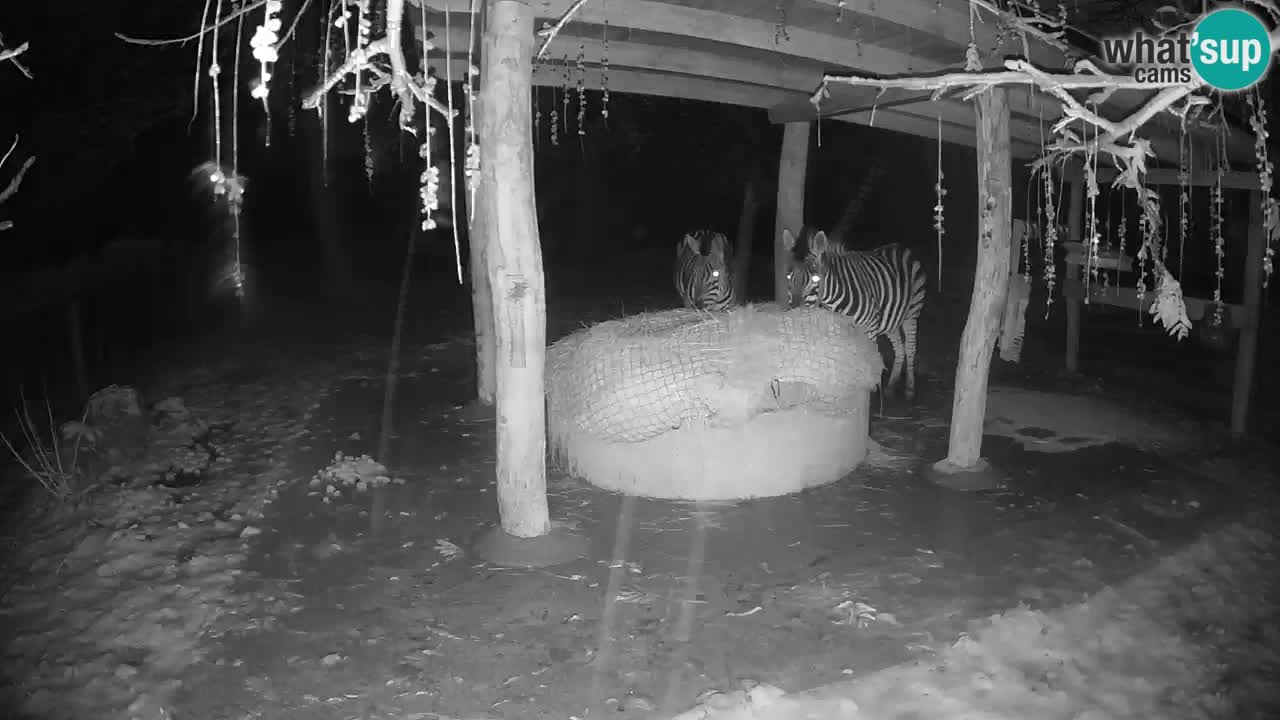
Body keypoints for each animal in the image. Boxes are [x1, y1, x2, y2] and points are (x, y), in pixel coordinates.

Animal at [783, 226, 926, 399]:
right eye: (788, 277)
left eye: (816, 279)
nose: (793, 317)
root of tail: (900, 246)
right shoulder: (836, 328)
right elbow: (839, 357)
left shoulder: (870, 329)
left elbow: (865, 362)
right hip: (890, 319)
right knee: (899, 348)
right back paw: (891, 387)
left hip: (912, 313)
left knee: (911, 349)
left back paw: (910, 389)